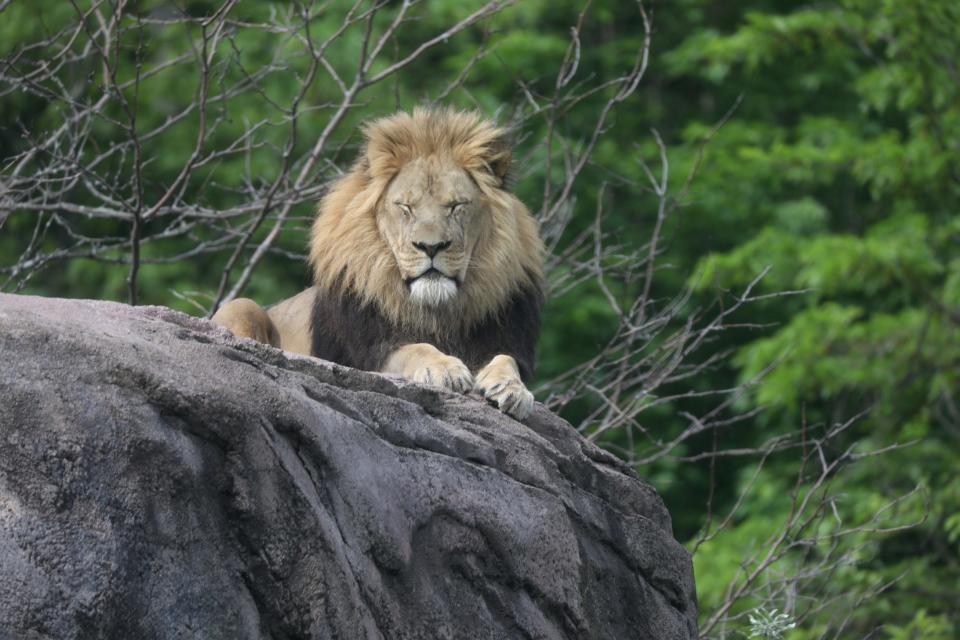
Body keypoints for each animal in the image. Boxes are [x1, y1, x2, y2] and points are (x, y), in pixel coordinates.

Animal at [214, 109, 544, 420]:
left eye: (456, 206)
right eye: (406, 208)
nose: (431, 247)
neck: (437, 311)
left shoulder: (504, 339)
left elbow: (506, 360)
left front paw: (512, 388)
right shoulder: (366, 354)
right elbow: (415, 348)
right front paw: (445, 368)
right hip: (241, 306)